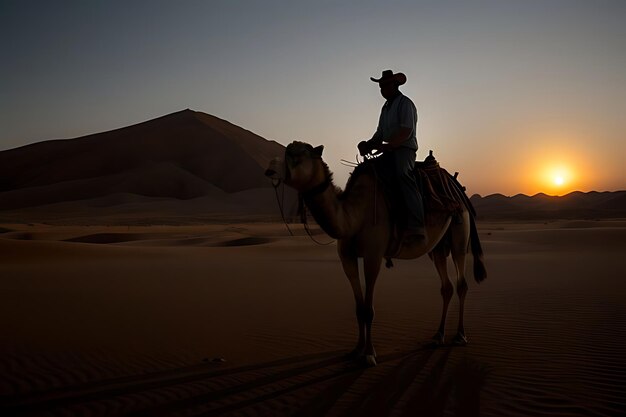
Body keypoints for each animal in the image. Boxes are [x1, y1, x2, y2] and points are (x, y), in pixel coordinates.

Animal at [262, 141, 482, 366]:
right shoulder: (347, 258)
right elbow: (359, 308)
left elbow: (369, 309)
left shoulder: (373, 255)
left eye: (298, 156)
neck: (353, 216)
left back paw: (460, 336)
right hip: (437, 247)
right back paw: (438, 336)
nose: (270, 169)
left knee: (461, 282)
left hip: (459, 231)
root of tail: (457, 187)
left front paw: (369, 354)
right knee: (446, 287)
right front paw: (356, 350)